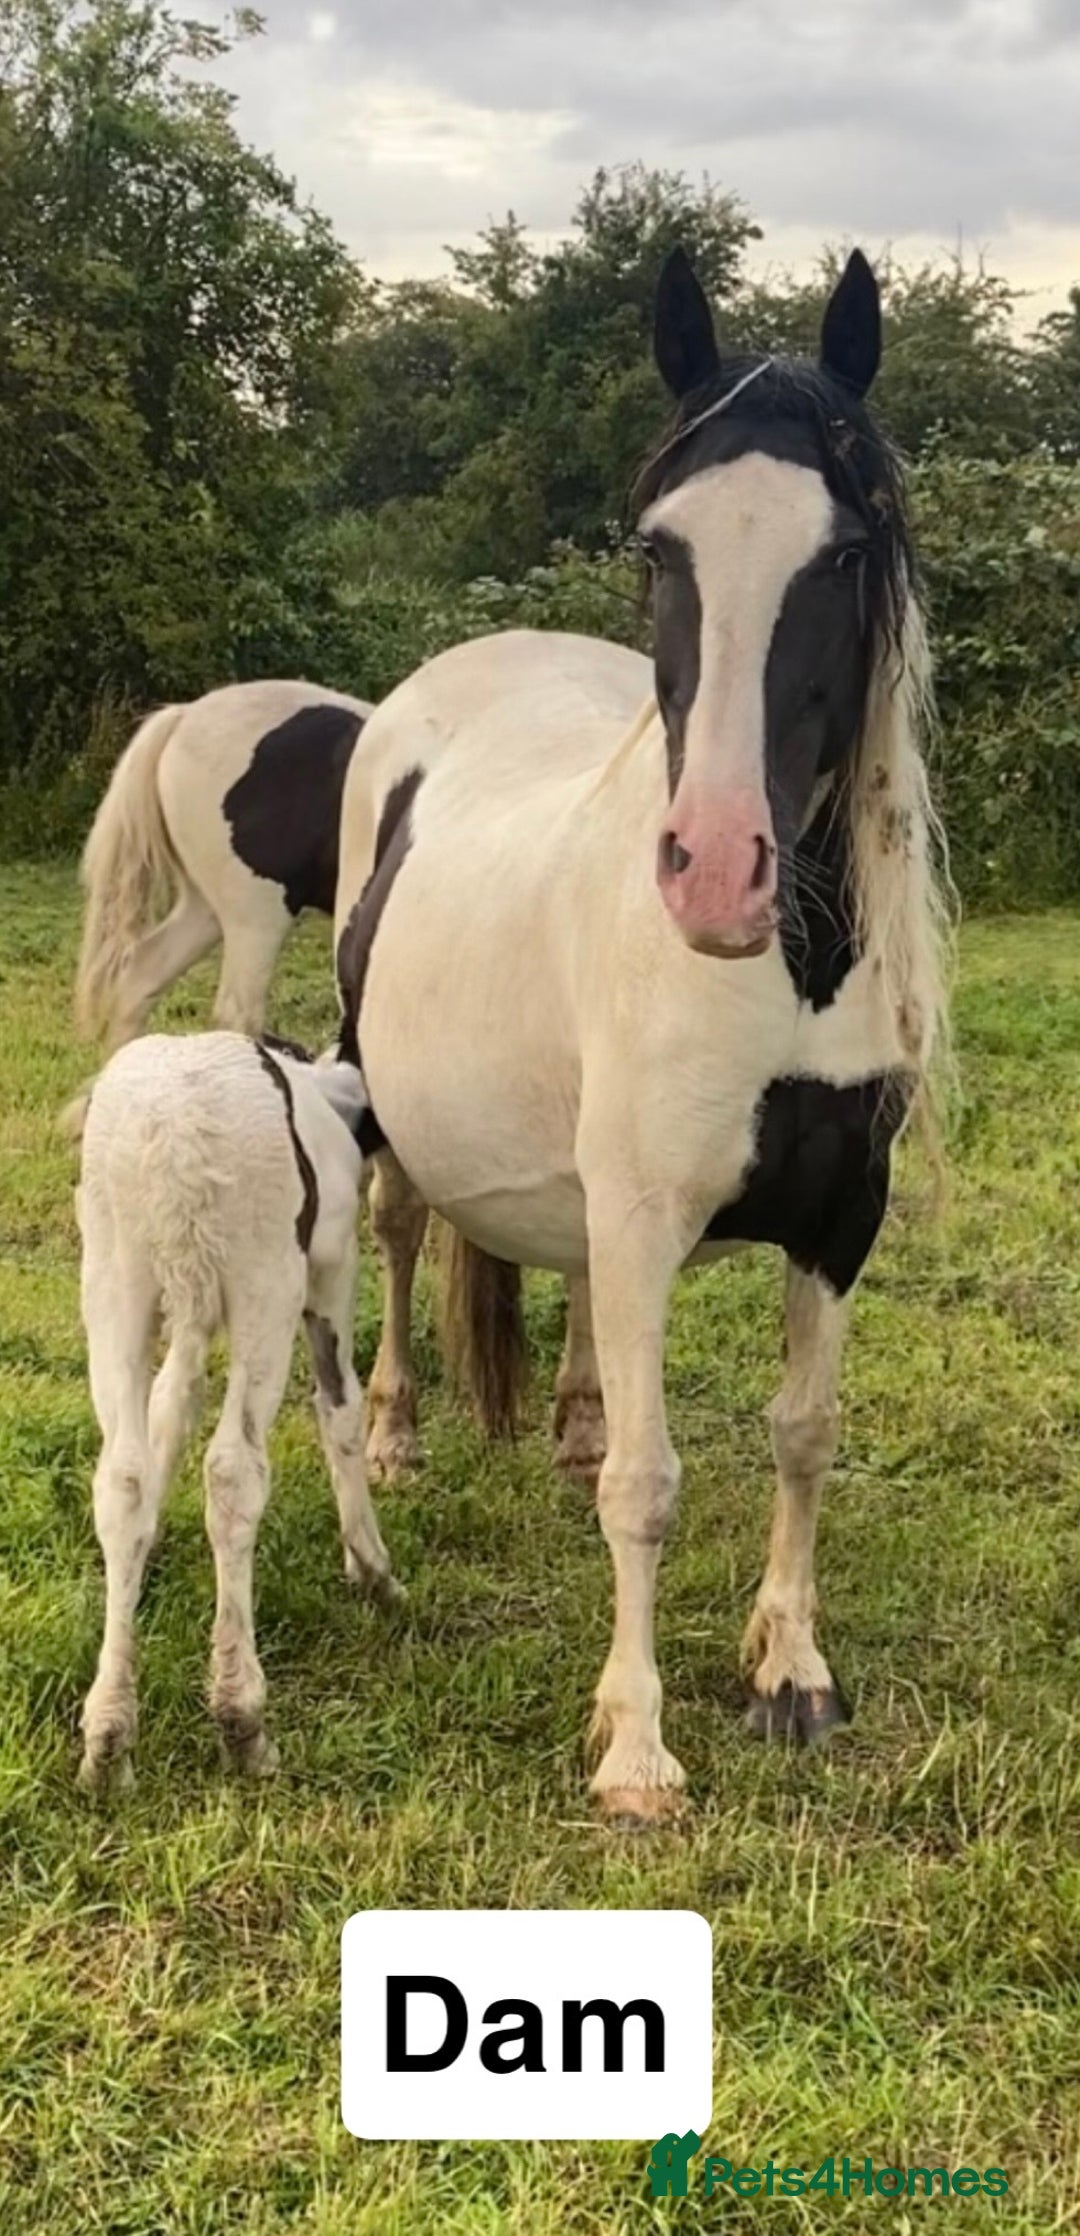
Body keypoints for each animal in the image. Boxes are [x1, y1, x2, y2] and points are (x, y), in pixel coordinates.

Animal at [333, 245, 950, 1823]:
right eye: (659, 551)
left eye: (843, 555)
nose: (717, 871)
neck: (787, 977)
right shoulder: (648, 1210)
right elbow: (652, 1488)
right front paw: (635, 1747)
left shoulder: (838, 1220)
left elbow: (803, 1434)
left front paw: (790, 1669)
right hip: (385, 1105)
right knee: (402, 1231)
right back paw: (398, 1431)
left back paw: (570, 1415)